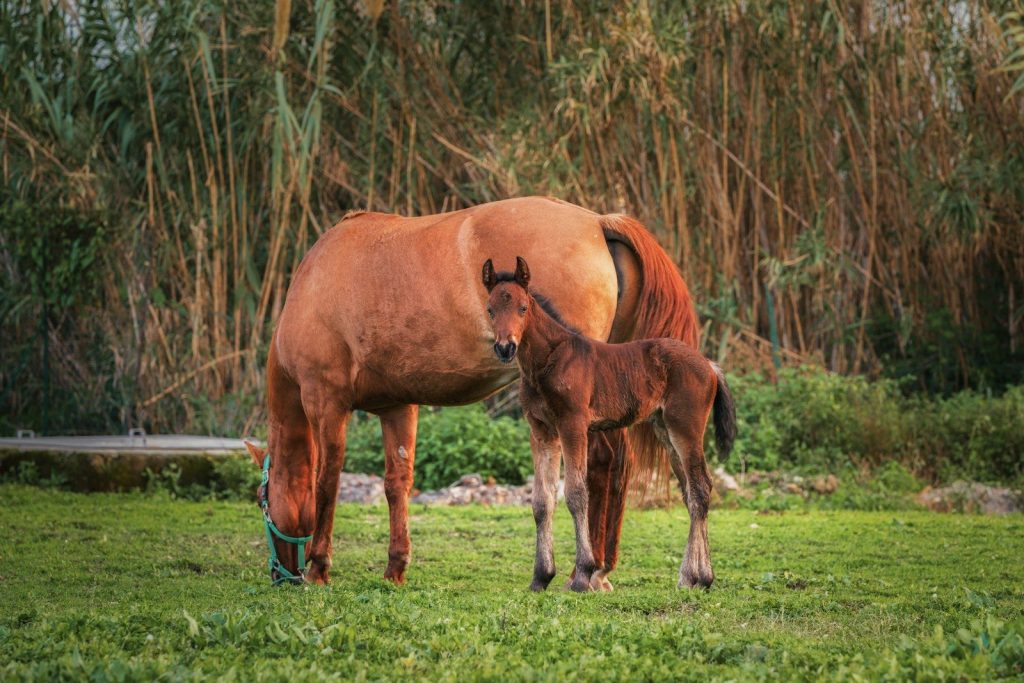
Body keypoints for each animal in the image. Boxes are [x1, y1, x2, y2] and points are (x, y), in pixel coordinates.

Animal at [247, 196, 699, 587]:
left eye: (260, 498)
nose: (280, 575)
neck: (316, 282)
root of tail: (598, 222)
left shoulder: (326, 402)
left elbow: (327, 482)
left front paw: (319, 567)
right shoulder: (397, 406)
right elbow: (397, 483)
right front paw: (395, 568)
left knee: (602, 465)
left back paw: (588, 571)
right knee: (618, 465)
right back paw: (600, 569)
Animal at [483, 257, 736, 591]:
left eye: (523, 308)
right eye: (490, 309)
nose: (505, 347)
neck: (548, 360)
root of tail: (709, 365)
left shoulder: (573, 425)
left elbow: (576, 494)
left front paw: (582, 575)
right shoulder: (541, 432)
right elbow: (541, 501)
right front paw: (541, 577)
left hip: (687, 429)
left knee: (701, 490)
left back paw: (700, 578)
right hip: (666, 432)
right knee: (692, 492)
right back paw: (690, 578)